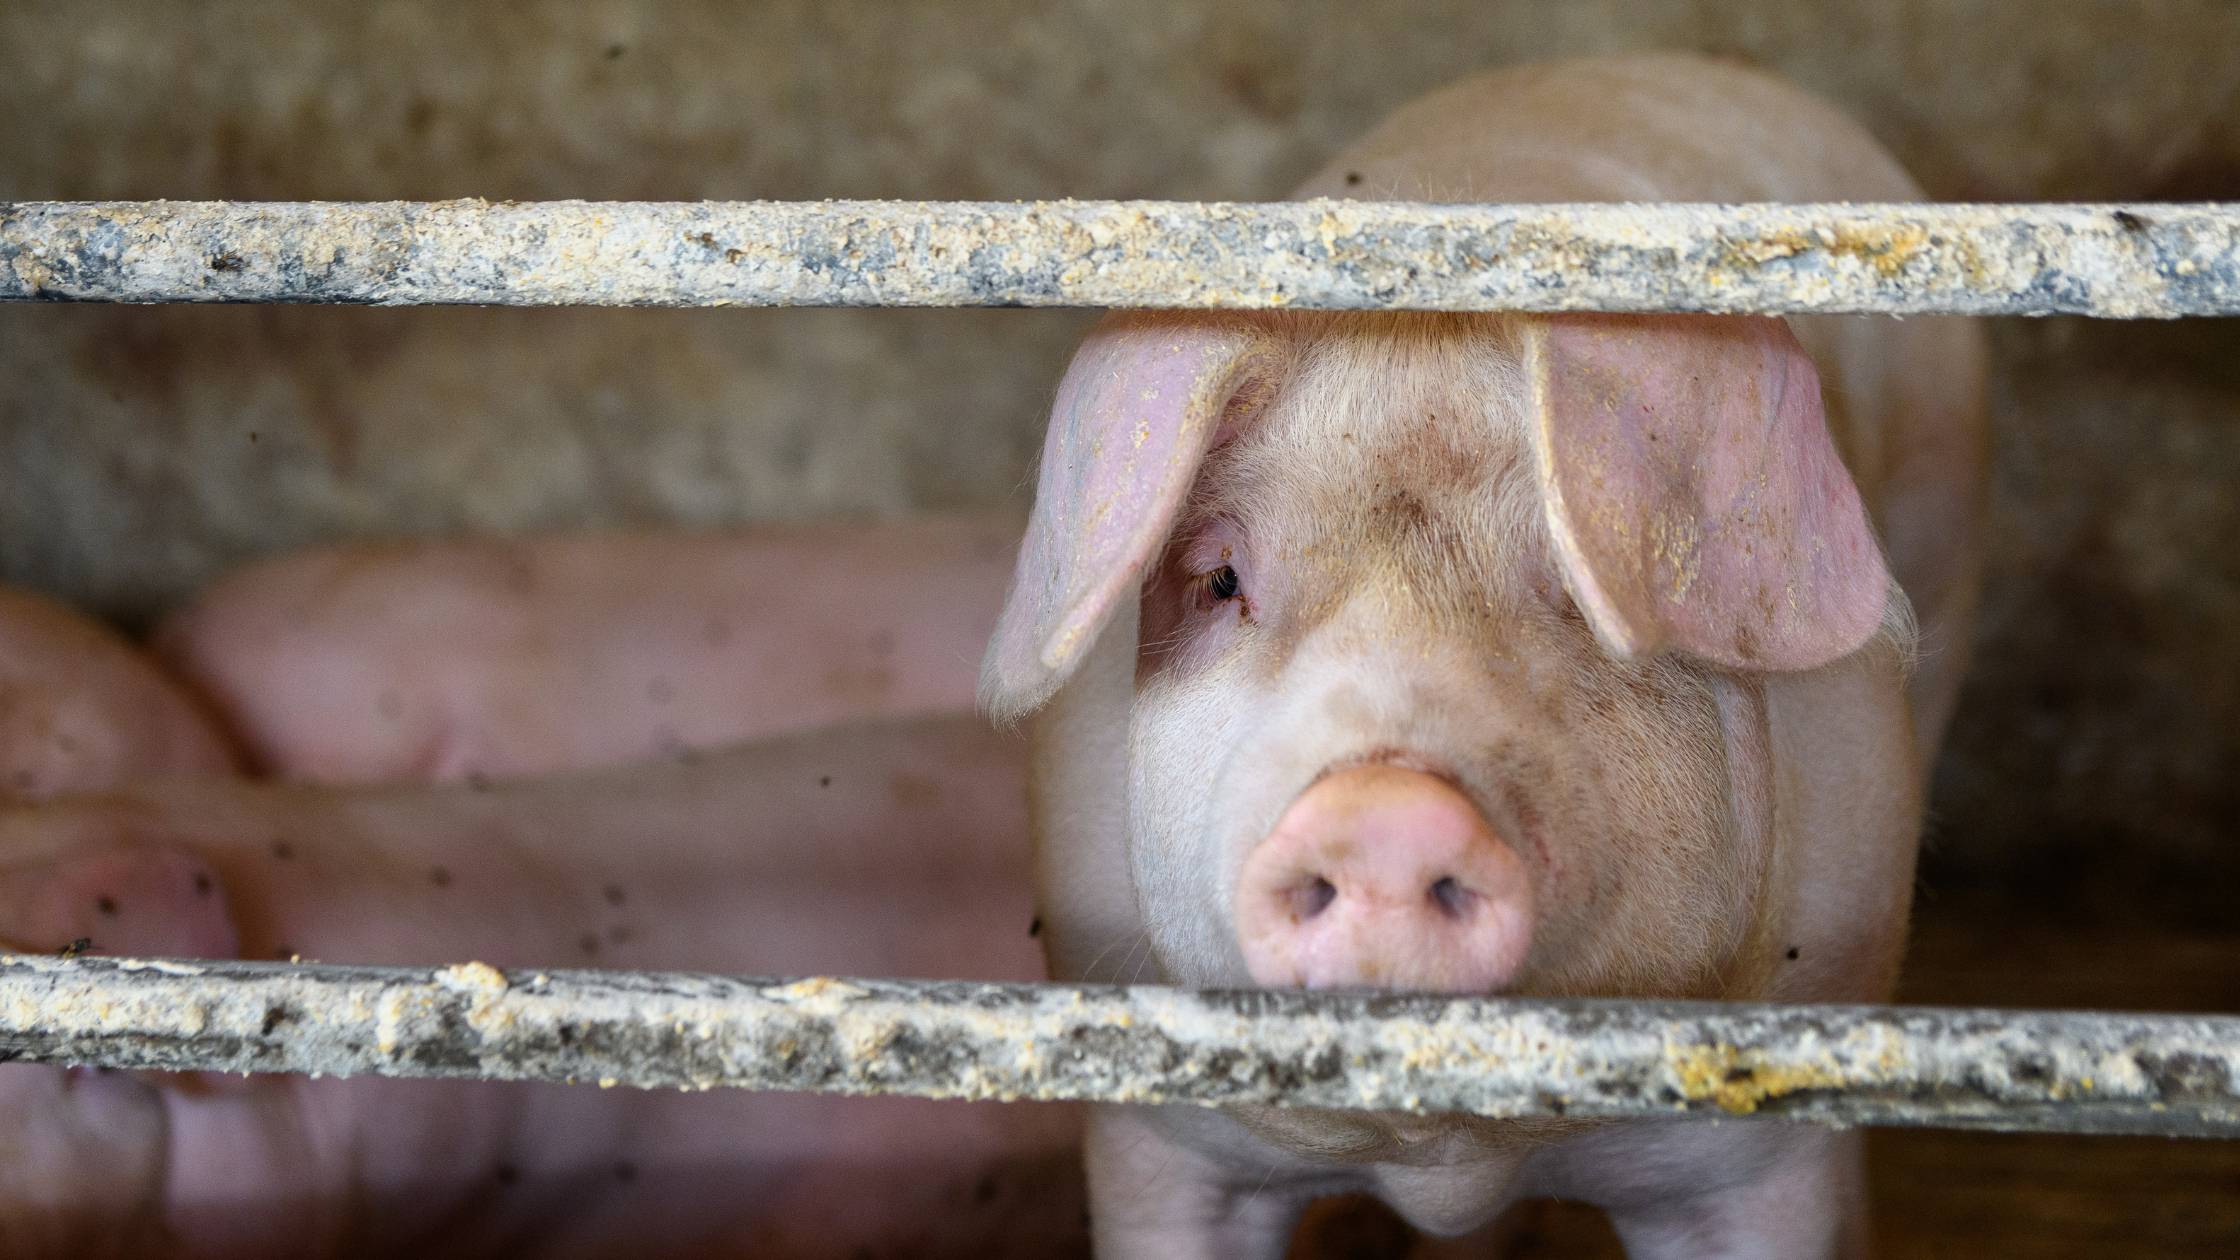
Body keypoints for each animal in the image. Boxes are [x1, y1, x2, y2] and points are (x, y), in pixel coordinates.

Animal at [981, 51, 1980, 1255]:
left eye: (1575, 588)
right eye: (1220, 579)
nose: (1379, 812)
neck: (1450, 1154)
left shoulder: (1768, 1144)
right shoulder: (1157, 1140)